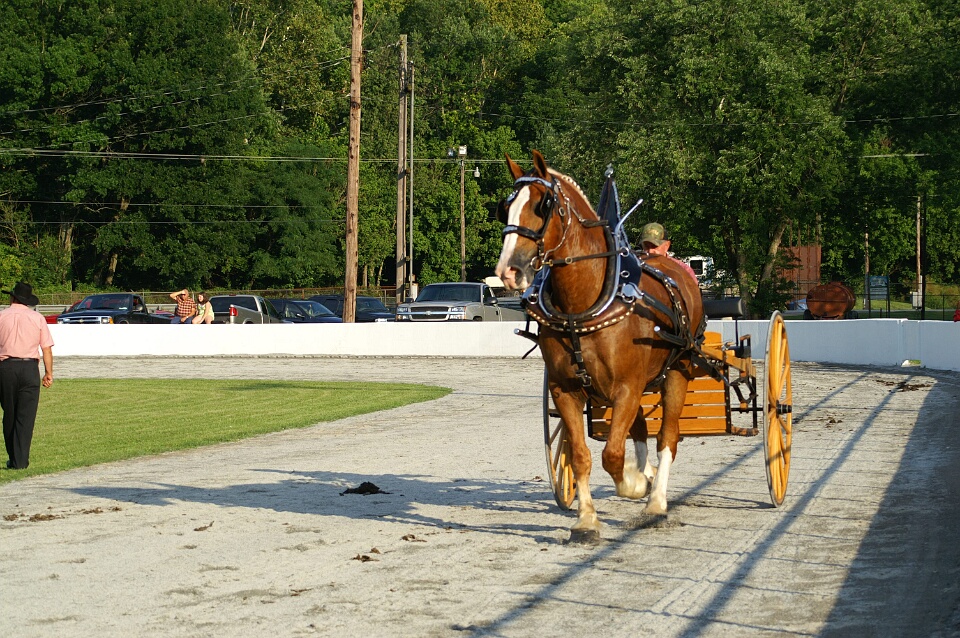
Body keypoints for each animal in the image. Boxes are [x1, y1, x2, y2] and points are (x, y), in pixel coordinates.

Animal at [495, 150, 705, 543]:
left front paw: (636, 485)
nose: (508, 271)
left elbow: (612, 455)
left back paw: (656, 501)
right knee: (639, 429)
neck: (585, 302)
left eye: (543, 205)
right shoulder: (565, 389)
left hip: (677, 370)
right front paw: (586, 520)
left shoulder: (627, 387)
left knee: (667, 437)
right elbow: (581, 455)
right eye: (505, 207)